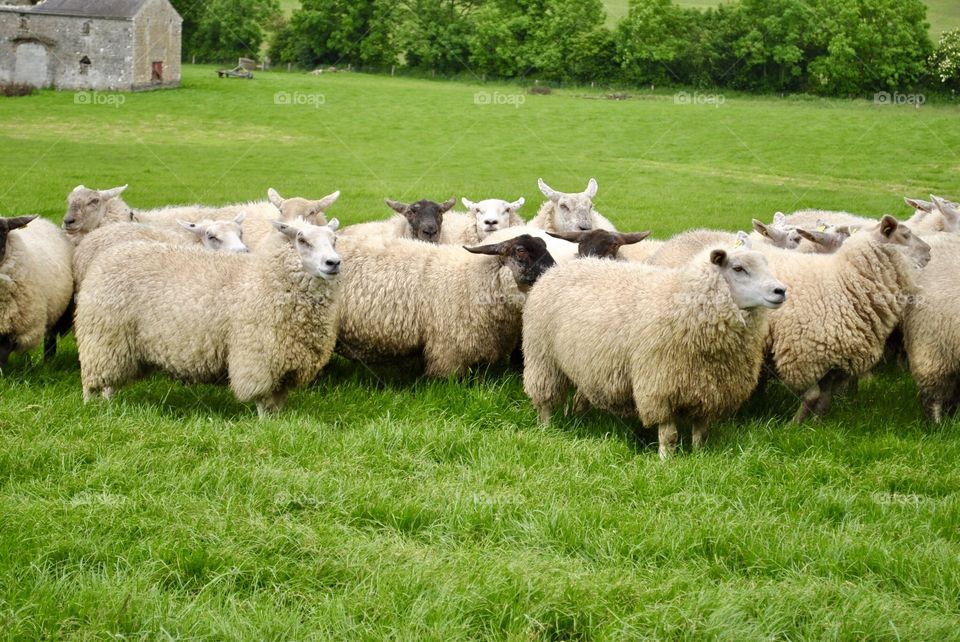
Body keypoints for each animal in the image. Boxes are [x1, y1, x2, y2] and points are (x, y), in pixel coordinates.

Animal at [0, 215, 74, 365]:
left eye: (4, 230)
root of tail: (44, 221)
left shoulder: (17, 328)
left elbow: (3, 352)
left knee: (50, 337)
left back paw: (48, 362)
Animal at [522, 246, 786, 459]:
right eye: (738, 268)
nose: (780, 290)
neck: (683, 300)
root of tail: (555, 270)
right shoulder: (659, 387)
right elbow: (668, 435)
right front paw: (665, 461)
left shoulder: (708, 389)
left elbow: (701, 432)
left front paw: (699, 456)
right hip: (542, 357)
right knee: (544, 398)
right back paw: (546, 428)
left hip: (583, 362)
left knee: (579, 396)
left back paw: (579, 420)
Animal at [760, 216, 931, 421]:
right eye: (905, 235)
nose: (930, 250)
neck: (845, 282)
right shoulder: (802, 356)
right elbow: (813, 395)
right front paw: (794, 424)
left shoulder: (834, 362)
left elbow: (824, 398)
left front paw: (816, 423)